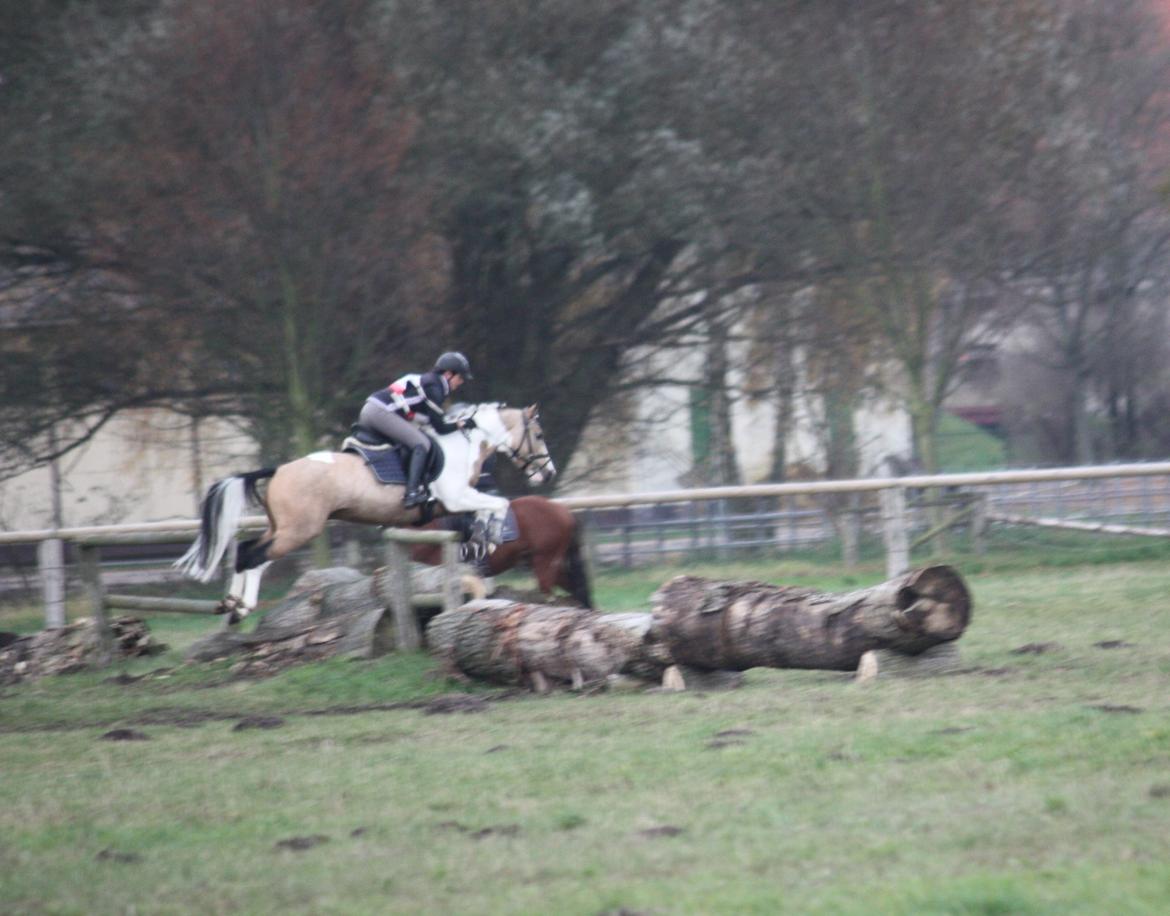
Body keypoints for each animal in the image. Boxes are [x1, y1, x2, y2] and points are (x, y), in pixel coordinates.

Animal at [175, 402, 554, 622]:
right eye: (537, 433)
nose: (547, 473)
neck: (462, 444)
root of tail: (279, 469)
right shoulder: (456, 497)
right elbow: (497, 504)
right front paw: (490, 536)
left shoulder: (456, 502)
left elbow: (487, 509)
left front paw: (482, 539)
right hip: (299, 530)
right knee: (255, 557)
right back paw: (243, 606)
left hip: (282, 528)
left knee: (246, 552)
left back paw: (231, 604)